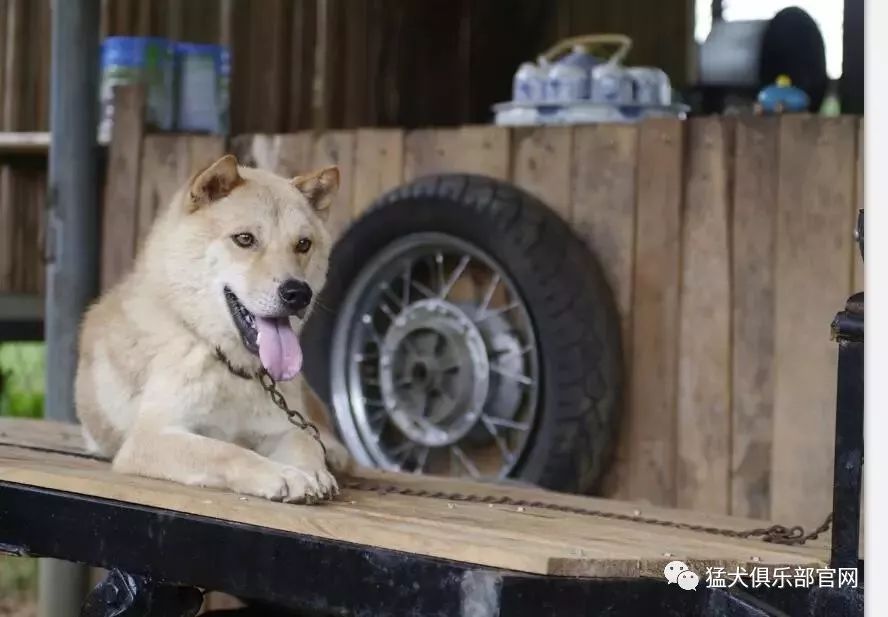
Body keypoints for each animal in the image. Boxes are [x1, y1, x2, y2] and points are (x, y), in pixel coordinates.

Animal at [74, 153, 350, 500]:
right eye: (245, 239)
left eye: (303, 244)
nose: (298, 293)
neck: (227, 363)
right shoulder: (150, 438)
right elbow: (226, 451)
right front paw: (283, 475)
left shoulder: (281, 427)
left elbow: (303, 441)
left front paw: (311, 470)